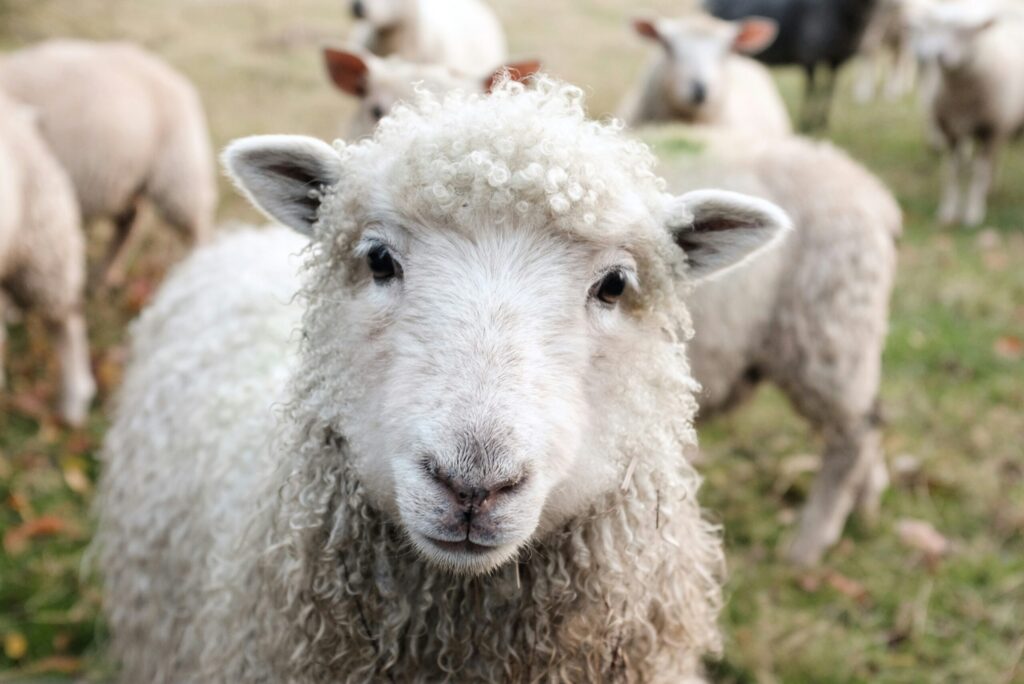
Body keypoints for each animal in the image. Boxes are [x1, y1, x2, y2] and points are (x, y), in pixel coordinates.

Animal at [0, 39, 217, 285]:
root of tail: (173, 76)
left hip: (179, 171)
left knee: (196, 226)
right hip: (127, 180)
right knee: (129, 222)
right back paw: (105, 276)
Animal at [705, 0, 880, 130]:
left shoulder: (837, 60)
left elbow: (829, 90)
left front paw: (822, 122)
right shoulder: (810, 56)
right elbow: (812, 89)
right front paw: (807, 122)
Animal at [910, 1, 1024, 227]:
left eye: (967, 31)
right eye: (936, 27)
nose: (939, 56)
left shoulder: (990, 130)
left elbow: (978, 173)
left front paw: (973, 213)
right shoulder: (950, 131)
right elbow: (952, 172)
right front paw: (948, 212)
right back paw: (991, 188)